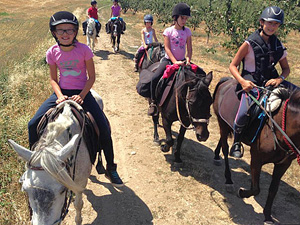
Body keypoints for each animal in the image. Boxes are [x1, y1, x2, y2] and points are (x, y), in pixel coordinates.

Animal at [213, 77, 300, 223]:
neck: (280, 127)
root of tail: (227, 80)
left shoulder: (283, 164)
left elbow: (273, 190)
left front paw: (268, 216)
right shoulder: (256, 158)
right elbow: (256, 189)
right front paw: (242, 192)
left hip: (226, 125)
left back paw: (216, 156)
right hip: (222, 123)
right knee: (225, 148)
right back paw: (228, 179)